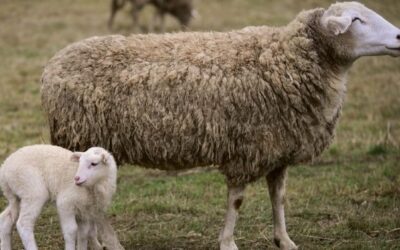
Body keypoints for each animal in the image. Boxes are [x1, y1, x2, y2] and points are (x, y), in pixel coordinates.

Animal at [41, 2, 400, 250]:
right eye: (356, 20)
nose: (398, 36)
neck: (287, 62)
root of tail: (51, 66)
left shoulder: (278, 149)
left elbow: (279, 197)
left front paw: (284, 240)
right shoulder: (247, 149)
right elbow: (237, 202)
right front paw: (228, 242)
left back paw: (98, 242)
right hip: (83, 136)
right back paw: (111, 243)